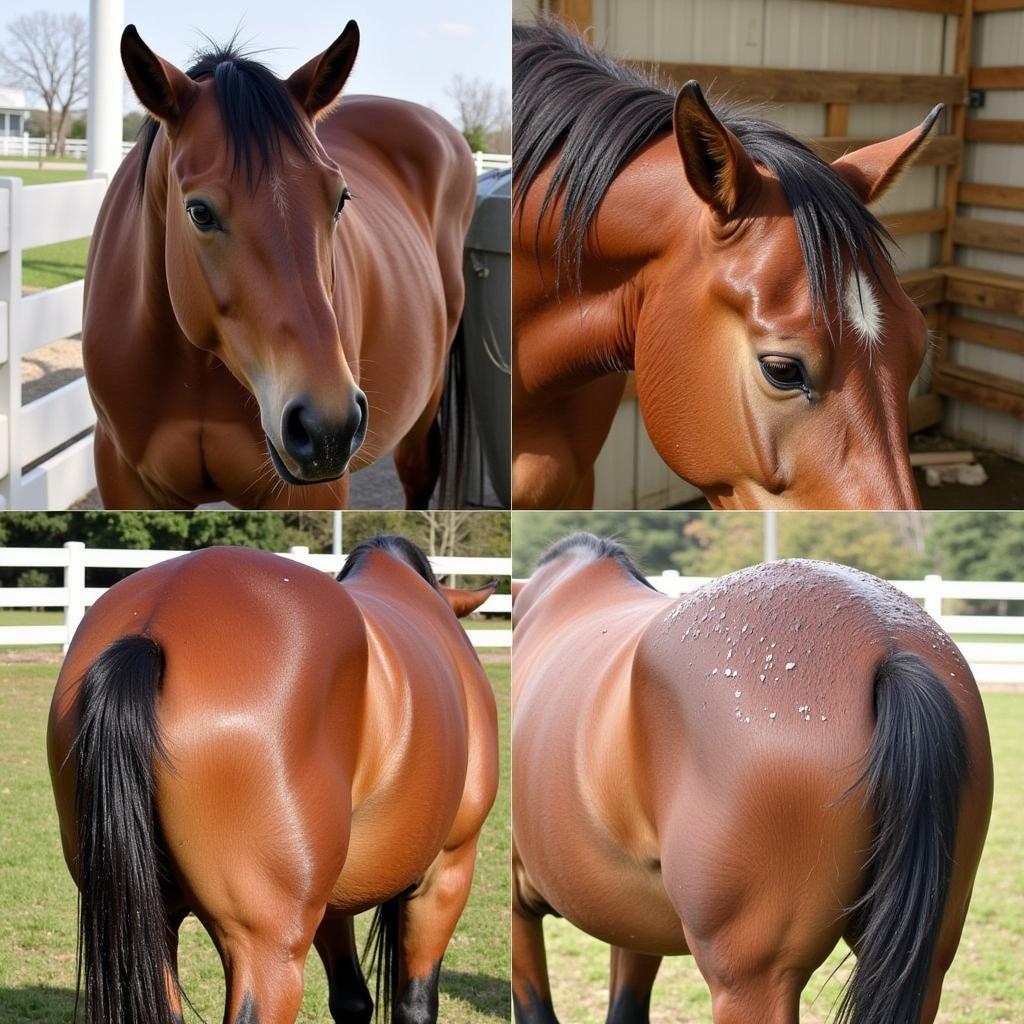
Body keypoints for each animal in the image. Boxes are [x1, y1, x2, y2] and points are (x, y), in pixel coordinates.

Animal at [48, 540, 499, 1019]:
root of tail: (154, 623)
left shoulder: (330, 898)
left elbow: (352, 999)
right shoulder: (446, 870)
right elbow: (414, 1005)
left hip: (153, 922)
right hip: (265, 946)